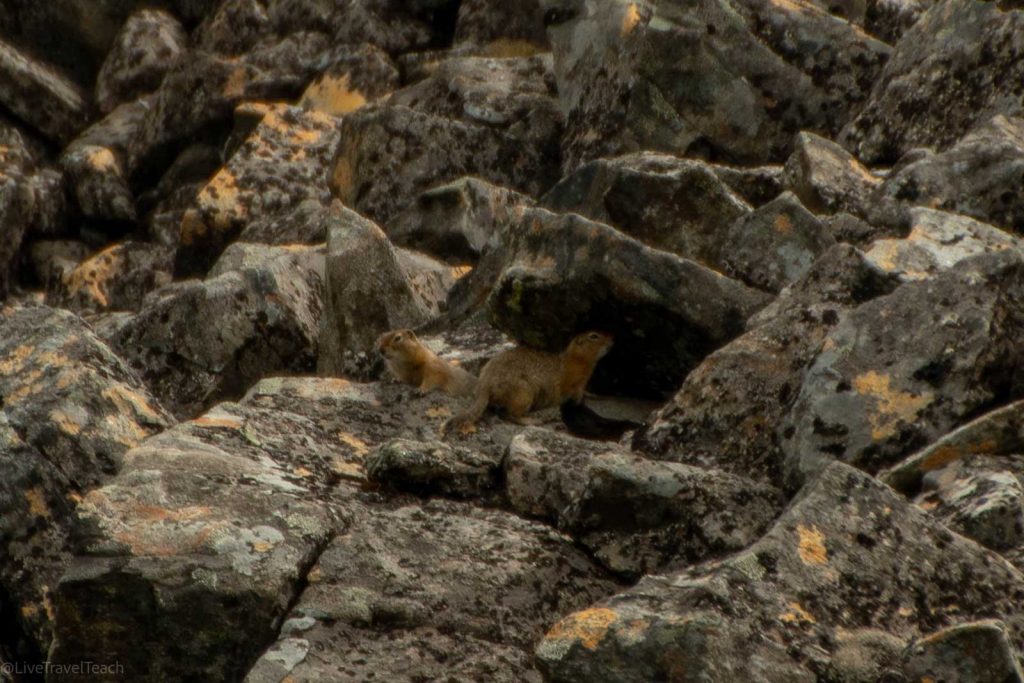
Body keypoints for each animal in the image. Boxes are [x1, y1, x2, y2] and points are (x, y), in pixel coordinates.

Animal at [443, 331, 614, 433]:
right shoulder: (571, 381)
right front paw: (581, 398)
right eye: (594, 336)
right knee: (508, 414)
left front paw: (593, 394)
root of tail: (484, 385)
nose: (613, 338)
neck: (577, 360)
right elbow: (573, 390)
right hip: (523, 394)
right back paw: (531, 420)